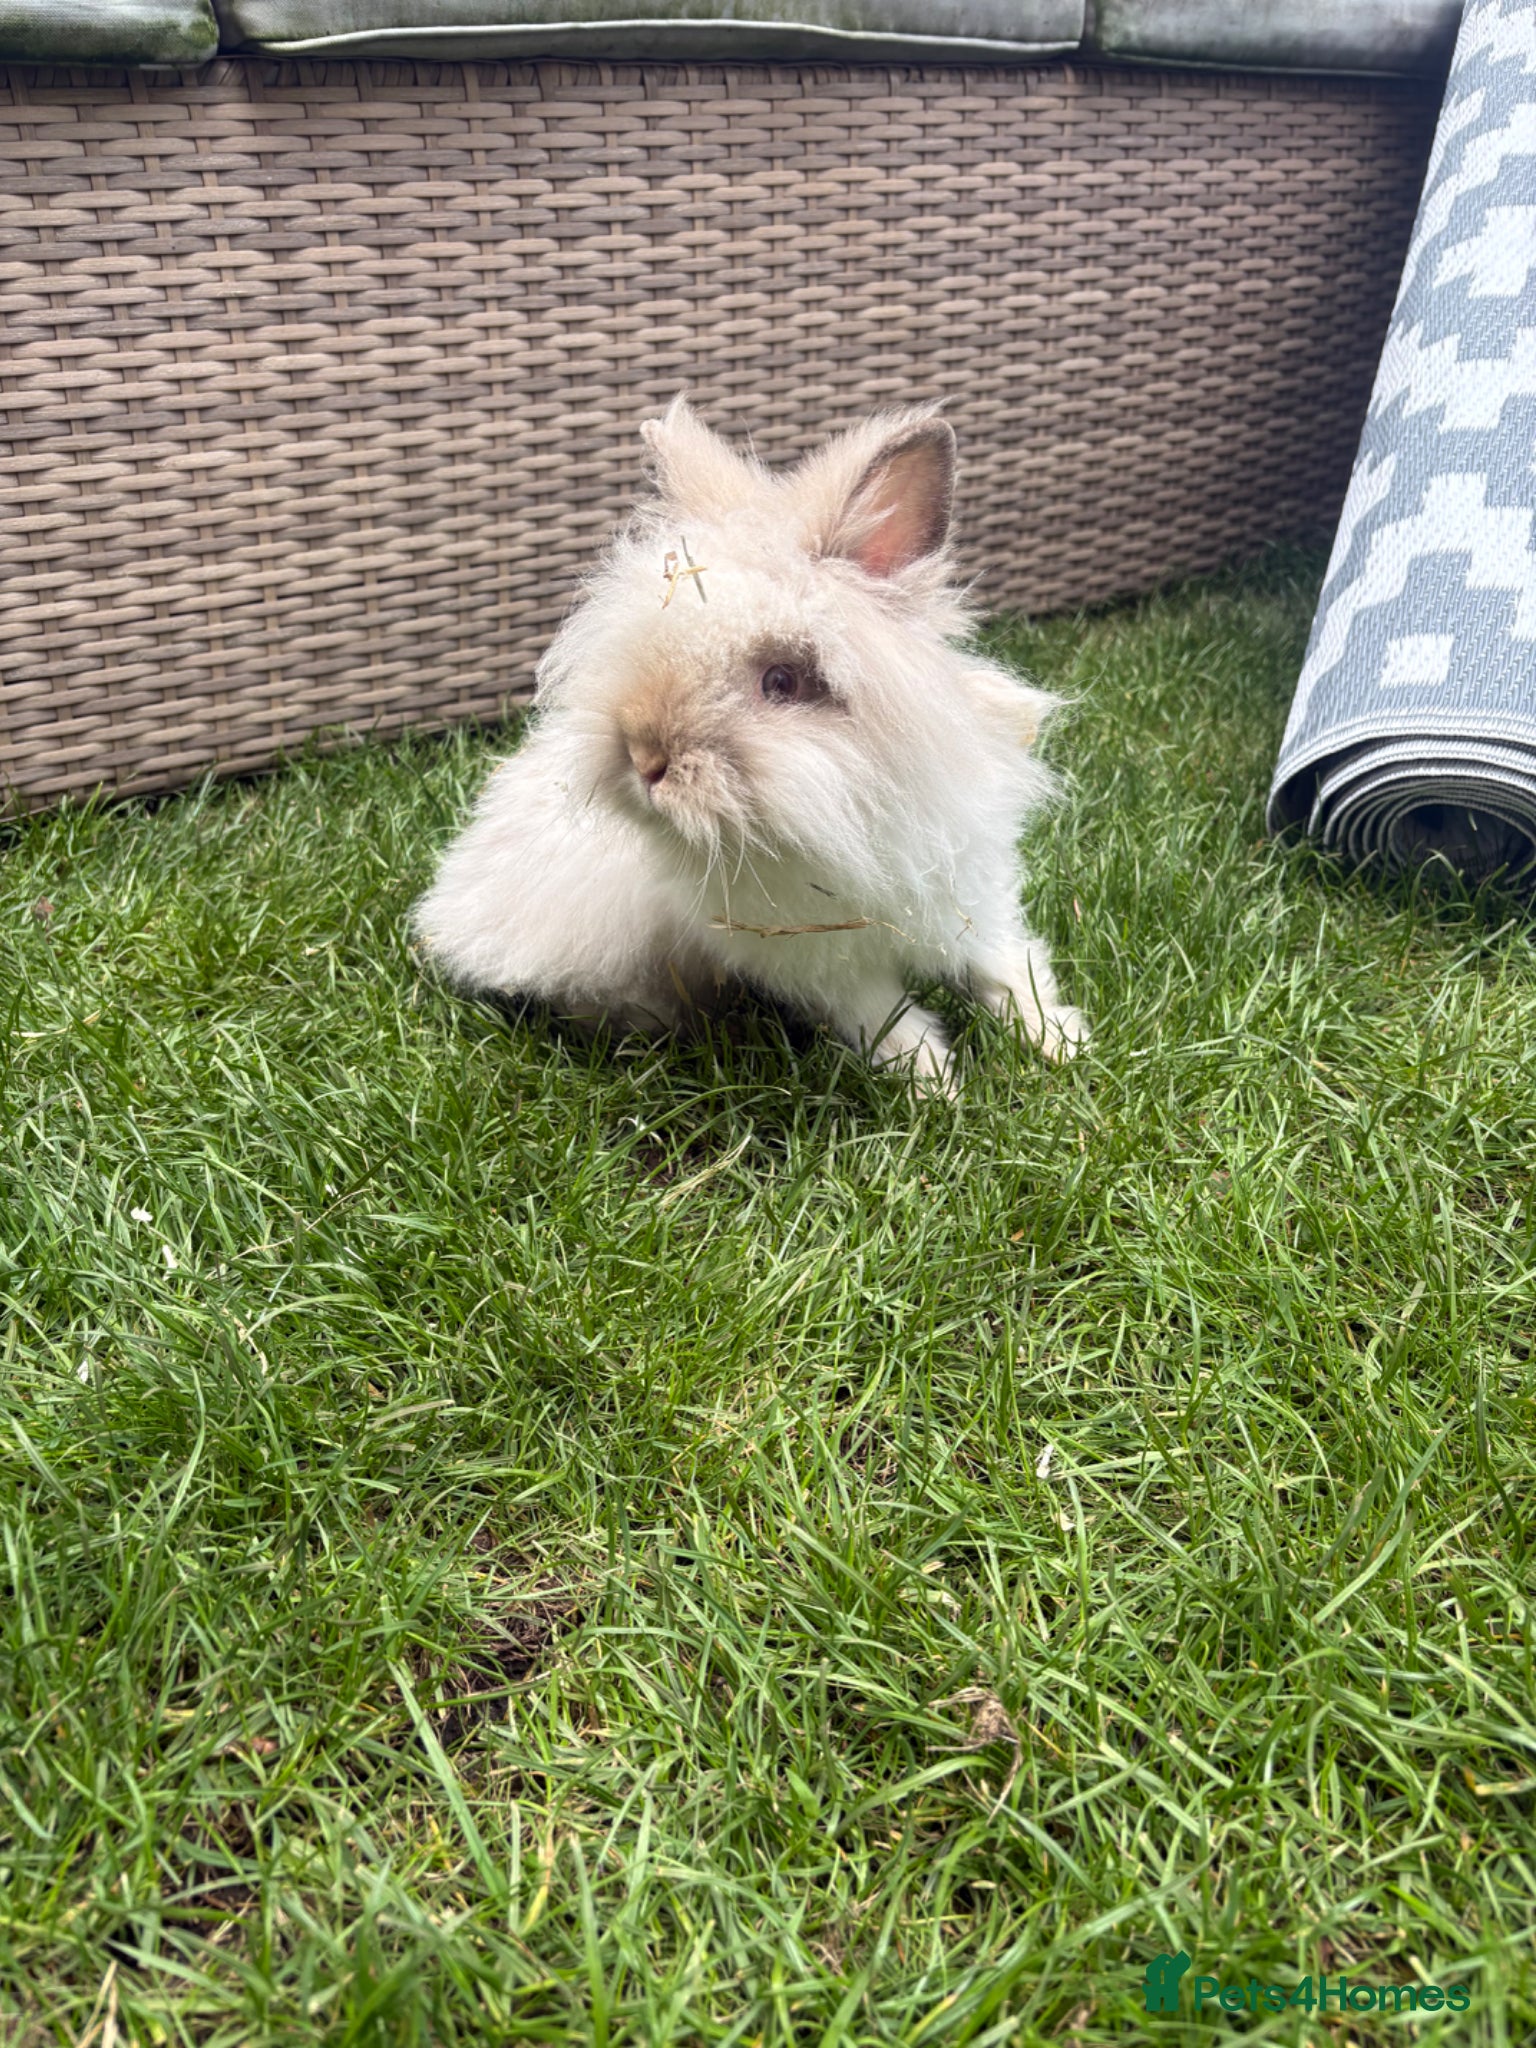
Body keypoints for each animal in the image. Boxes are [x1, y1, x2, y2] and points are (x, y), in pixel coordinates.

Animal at [414, 398, 1087, 1092]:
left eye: (782, 681)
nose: (645, 759)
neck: (851, 815)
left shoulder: (971, 897)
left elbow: (1005, 971)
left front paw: (1062, 1045)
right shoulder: (821, 963)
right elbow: (888, 1020)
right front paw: (937, 1087)